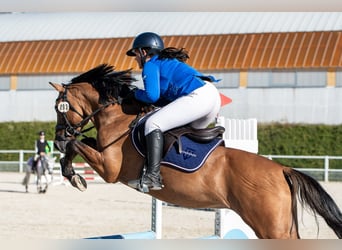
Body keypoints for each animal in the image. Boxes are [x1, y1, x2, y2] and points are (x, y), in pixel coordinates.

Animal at [49, 64, 340, 238]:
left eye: (58, 108)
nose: (58, 139)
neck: (117, 119)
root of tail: (282, 169)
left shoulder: (110, 169)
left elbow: (78, 144)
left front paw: (74, 175)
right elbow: (81, 144)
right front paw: (72, 172)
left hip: (271, 227)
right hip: (281, 226)